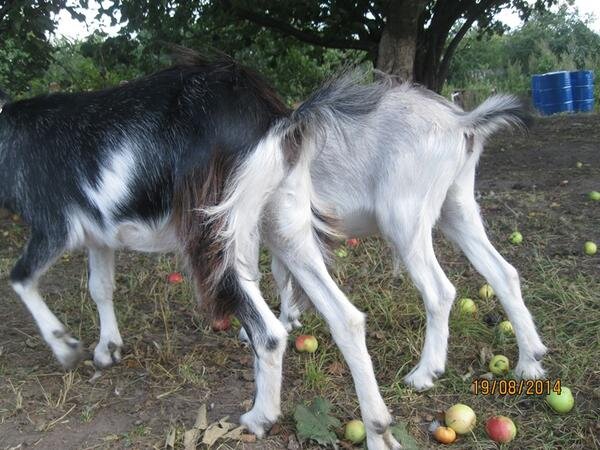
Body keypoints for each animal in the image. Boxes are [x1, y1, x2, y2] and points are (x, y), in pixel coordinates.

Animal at [1, 54, 404, 448]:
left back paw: (259, 418)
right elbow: (100, 287)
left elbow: (20, 278)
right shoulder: (99, 235)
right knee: (346, 318)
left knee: (270, 332)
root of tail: (278, 118)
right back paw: (378, 430)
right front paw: (107, 349)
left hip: (213, 227)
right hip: (285, 217)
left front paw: (67, 348)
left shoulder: (55, 224)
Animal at [251, 83, 548, 390]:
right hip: (456, 208)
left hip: (404, 220)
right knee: (503, 272)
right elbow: (280, 271)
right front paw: (288, 318)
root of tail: (460, 121)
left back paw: (425, 372)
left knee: (440, 291)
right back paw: (530, 361)